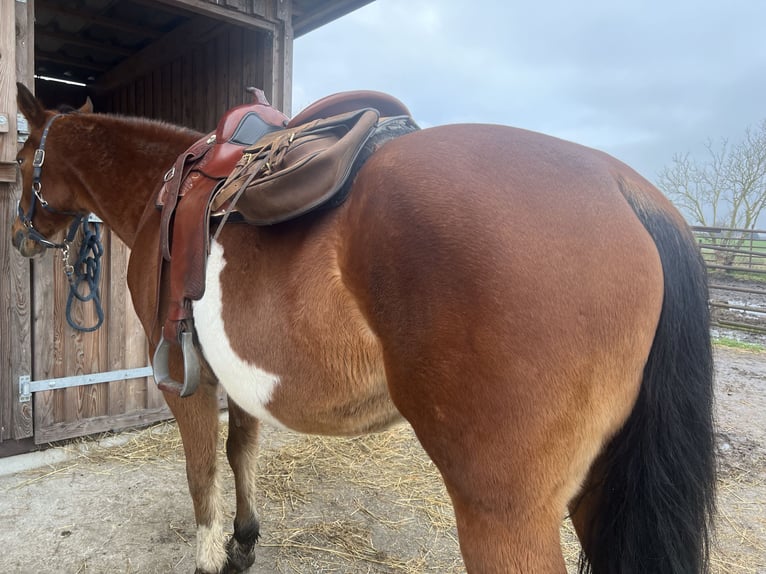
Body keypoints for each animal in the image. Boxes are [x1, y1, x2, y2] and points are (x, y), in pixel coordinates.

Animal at [10, 84, 720, 574]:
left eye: (20, 159)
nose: (22, 237)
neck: (163, 192)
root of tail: (627, 190)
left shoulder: (185, 380)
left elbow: (202, 470)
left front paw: (213, 554)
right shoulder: (239, 378)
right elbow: (241, 453)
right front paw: (244, 542)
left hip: (507, 514)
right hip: (599, 492)